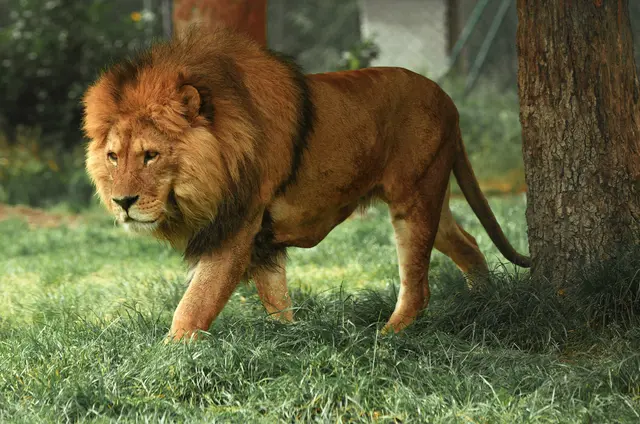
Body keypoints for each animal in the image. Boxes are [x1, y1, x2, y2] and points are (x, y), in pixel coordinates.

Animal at [83, 26, 530, 341]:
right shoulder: (261, 240)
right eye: (113, 156)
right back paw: (483, 303)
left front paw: (168, 357)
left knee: (418, 286)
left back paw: (385, 338)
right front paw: (292, 339)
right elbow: (276, 300)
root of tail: (448, 99)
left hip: (414, 197)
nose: (123, 202)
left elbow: (195, 304)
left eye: (150, 155)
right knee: (467, 242)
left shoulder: (237, 229)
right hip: (430, 194)